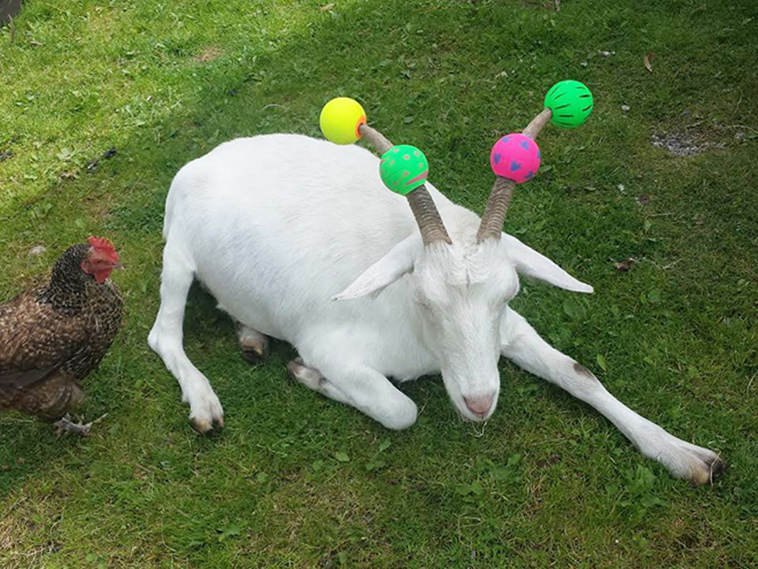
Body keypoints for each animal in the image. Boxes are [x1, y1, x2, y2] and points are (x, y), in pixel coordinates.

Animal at [148, 109, 725, 485]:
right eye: (425, 300)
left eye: (509, 293)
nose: (479, 402)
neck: (419, 337)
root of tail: (205, 159)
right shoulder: (333, 346)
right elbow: (400, 409)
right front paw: (308, 377)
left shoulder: (509, 331)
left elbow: (579, 373)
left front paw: (688, 456)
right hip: (178, 258)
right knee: (163, 335)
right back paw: (205, 402)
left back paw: (251, 337)